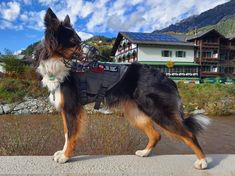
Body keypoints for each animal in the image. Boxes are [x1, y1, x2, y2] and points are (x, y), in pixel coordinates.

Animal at [35, 7, 210, 169]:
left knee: (189, 134)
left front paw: (66, 156)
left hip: (157, 111)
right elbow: (66, 133)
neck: (58, 64)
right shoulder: (66, 109)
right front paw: (63, 152)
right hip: (135, 112)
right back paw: (144, 153)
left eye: (79, 39)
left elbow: (71, 135)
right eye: (74, 40)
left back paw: (202, 161)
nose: (96, 51)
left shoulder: (72, 108)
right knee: (156, 135)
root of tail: (167, 77)